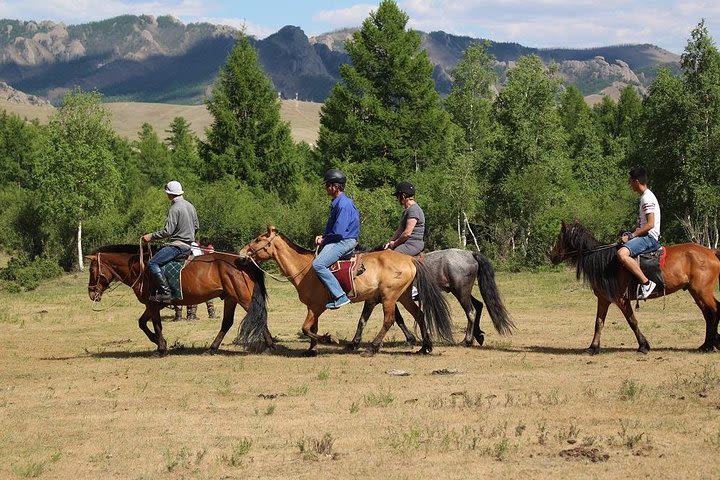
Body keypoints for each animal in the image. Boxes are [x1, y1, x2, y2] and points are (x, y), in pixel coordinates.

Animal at [85, 246, 270, 354]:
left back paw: (269, 346)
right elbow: (142, 323)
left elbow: (156, 325)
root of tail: (244, 261)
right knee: (227, 322)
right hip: (231, 298)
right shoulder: (153, 305)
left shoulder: (153, 305)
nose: (92, 294)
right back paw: (212, 348)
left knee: (259, 317)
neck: (141, 268)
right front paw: (158, 341)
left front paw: (161, 347)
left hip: (244, 298)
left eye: (91, 270)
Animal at [242, 226, 456, 356]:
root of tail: (409, 259)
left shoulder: (317, 307)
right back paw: (425, 346)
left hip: (389, 297)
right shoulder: (313, 308)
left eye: (258, 239)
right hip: (403, 296)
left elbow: (306, 328)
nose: (243, 252)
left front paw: (330, 339)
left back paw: (373, 347)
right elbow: (312, 328)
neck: (305, 269)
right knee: (419, 314)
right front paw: (312, 349)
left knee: (389, 320)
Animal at [348, 248, 512, 348]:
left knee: (471, 312)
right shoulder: (391, 299)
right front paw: (411, 339)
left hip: (460, 291)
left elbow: (365, 320)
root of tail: (470, 254)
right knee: (478, 305)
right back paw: (477, 336)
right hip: (463, 292)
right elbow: (399, 319)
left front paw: (355, 342)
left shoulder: (378, 300)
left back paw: (466, 340)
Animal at [552, 220, 720, 352]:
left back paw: (710, 344)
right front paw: (593, 347)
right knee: (708, 314)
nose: (551, 255)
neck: (605, 263)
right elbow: (599, 323)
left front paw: (643, 345)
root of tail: (711, 251)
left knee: (714, 310)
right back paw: (708, 344)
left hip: (702, 291)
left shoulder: (622, 300)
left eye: (559, 237)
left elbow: (632, 321)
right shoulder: (604, 300)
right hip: (696, 292)